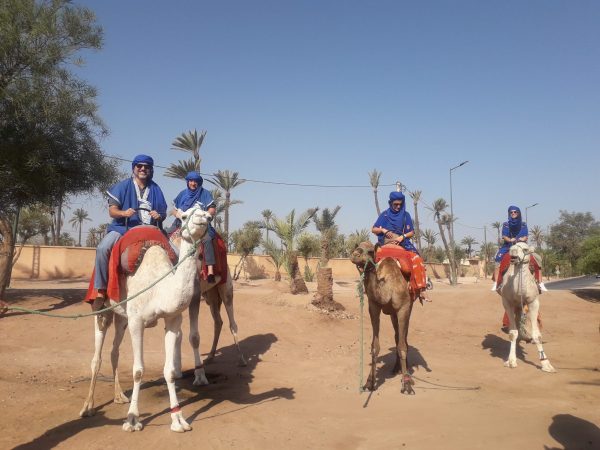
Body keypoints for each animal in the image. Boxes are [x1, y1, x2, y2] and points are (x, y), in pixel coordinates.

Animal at [79, 207, 211, 432]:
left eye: (208, 214)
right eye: (185, 216)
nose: (204, 217)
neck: (159, 287)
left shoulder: (171, 319)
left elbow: (169, 371)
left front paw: (178, 419)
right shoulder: (137, 322)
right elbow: (138, 371)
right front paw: (132, 419)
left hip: (122, 317)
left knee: (114, 351)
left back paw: (119, 396)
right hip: (102, 308)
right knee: (97, 357)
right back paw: (88, 407)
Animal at [350, 243, 414, 394]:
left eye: (370, 251)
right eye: (357, 246)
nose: (355, 254)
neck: (387, 289)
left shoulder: (403, 307)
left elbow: (403, 346)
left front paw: (407, 385)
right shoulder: (373, 306)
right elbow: (375, 346)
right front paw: (369, 383)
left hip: (409, 307)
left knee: (403, 338)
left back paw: (406, 372)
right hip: (392, 315)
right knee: (397, 336)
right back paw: (397, 368)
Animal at [500, 243, 556, 372]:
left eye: (525, 249)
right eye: (512, 247)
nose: (513, 251)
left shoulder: (533, 302)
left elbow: (537, 335)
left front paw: (546, 364)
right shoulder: (507, 302)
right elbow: (512, 333)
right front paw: (511, 361)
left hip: (521, 306)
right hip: (515, 305)